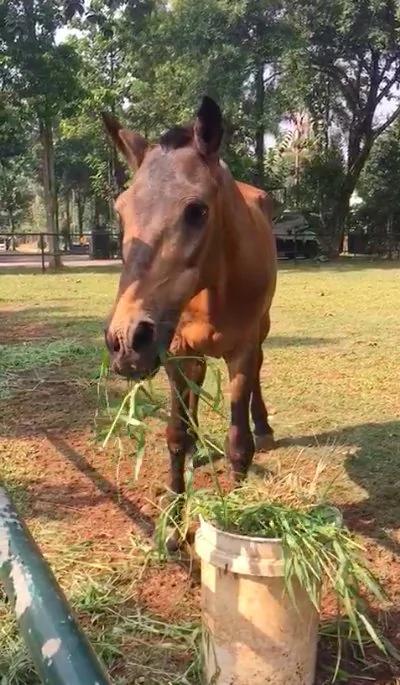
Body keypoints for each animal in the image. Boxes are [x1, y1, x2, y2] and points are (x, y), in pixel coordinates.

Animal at [103, 96, 277, 498]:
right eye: (120, 211)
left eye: (197, 210)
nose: (125, 341)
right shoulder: (174, 350)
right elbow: (176, 434)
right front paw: (173, 512)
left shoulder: (242, 351)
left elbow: (238, 444)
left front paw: (239, 506)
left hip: (262, 328)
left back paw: (264, 426)